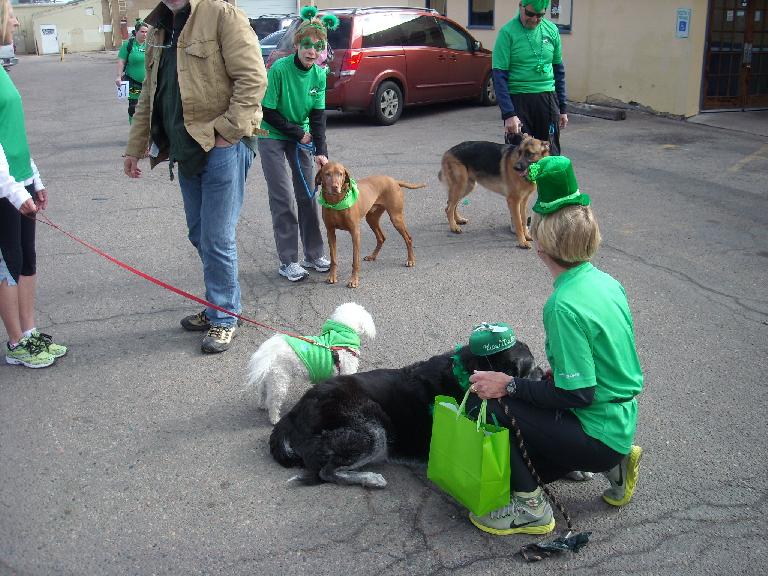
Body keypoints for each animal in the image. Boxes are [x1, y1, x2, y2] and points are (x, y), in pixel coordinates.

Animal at [246, 302, 376, 424]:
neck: (341, 337)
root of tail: (269, 353)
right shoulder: (345, 371)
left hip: (269, 377)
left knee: (262, 392)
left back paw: (262, 405)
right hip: (280, 380)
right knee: (273, 402)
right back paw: (274, 419)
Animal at [270, 340, 540, 488]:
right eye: (532, 365)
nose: (544, 373)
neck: (469, 373)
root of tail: (292, 415)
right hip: (373, 427)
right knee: (327, 472)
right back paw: (370, 479)